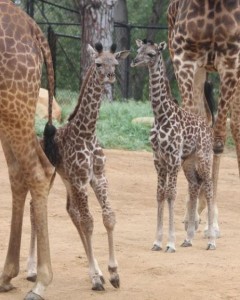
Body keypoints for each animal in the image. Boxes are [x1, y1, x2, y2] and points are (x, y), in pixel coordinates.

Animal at [27, 42, 129, 290]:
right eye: (98, 63)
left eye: (115, 63)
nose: (110, 76)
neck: (87, 132)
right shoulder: (82, 180)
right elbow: (89, 221)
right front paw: (96, 278)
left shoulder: (97, 177)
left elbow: (107, 217)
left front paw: (111, 272)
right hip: (49, 176)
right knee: (35, 208)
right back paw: (32, 269)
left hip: (66, 180)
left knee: (71, 211)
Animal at [131, 38, 216, 252]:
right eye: (138, 50)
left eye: (151, 54)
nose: (135, 61)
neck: (161, 115)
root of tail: (209, 126)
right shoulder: (158, 159)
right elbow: (160, 194)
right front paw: (157, 241)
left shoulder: (172, 158)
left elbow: (171, 194)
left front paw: (170, 243)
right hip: (189, 162)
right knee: (194, 186)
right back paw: (188, 238)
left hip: (204, 158)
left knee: (209, 189)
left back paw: (211, 240)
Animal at [168, 0, 240, 237]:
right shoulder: (185, 57)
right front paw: (192, 216)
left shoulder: (231, 62)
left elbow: (218, 140)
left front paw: (213, 223)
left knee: (235, 127)